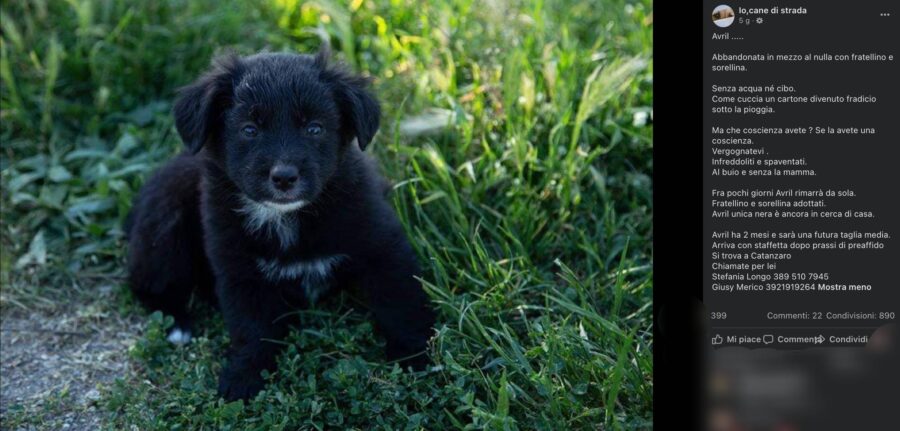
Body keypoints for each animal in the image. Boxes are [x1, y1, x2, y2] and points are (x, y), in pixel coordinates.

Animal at [126, 50, 436, 402]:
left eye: (314, 128)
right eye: (249, 129)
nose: (284, 177)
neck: (286, 218)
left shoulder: (382, 245)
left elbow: (400, 301)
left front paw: (414, 355)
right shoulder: (239, 271)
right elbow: (252, 328)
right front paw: (245, 376)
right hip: (165, 222)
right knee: (145, 284)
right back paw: (178, 324)